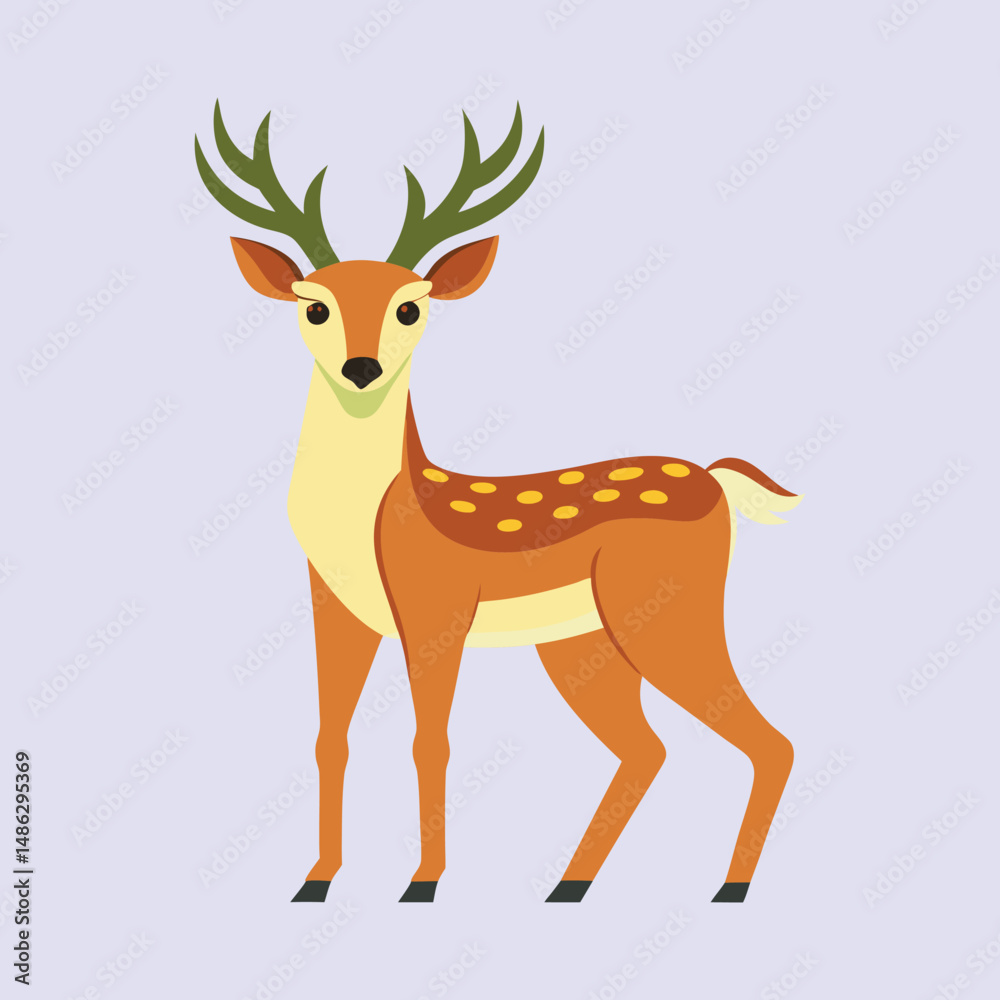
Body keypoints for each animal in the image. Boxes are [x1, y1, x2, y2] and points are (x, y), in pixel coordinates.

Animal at [195, 101, 802, 905]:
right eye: (314, 307)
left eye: (411, 307)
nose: (363, 368)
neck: (374, 519)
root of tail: (714, 479)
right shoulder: (333, 604)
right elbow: (330, 737)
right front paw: (315, 881)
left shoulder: (438, 606)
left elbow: (431, 740)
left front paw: (422, 883)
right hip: (579, 642)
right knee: (648, 748)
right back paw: (568, 885)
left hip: (670, 608)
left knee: (766, 739)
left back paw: (728, 888)